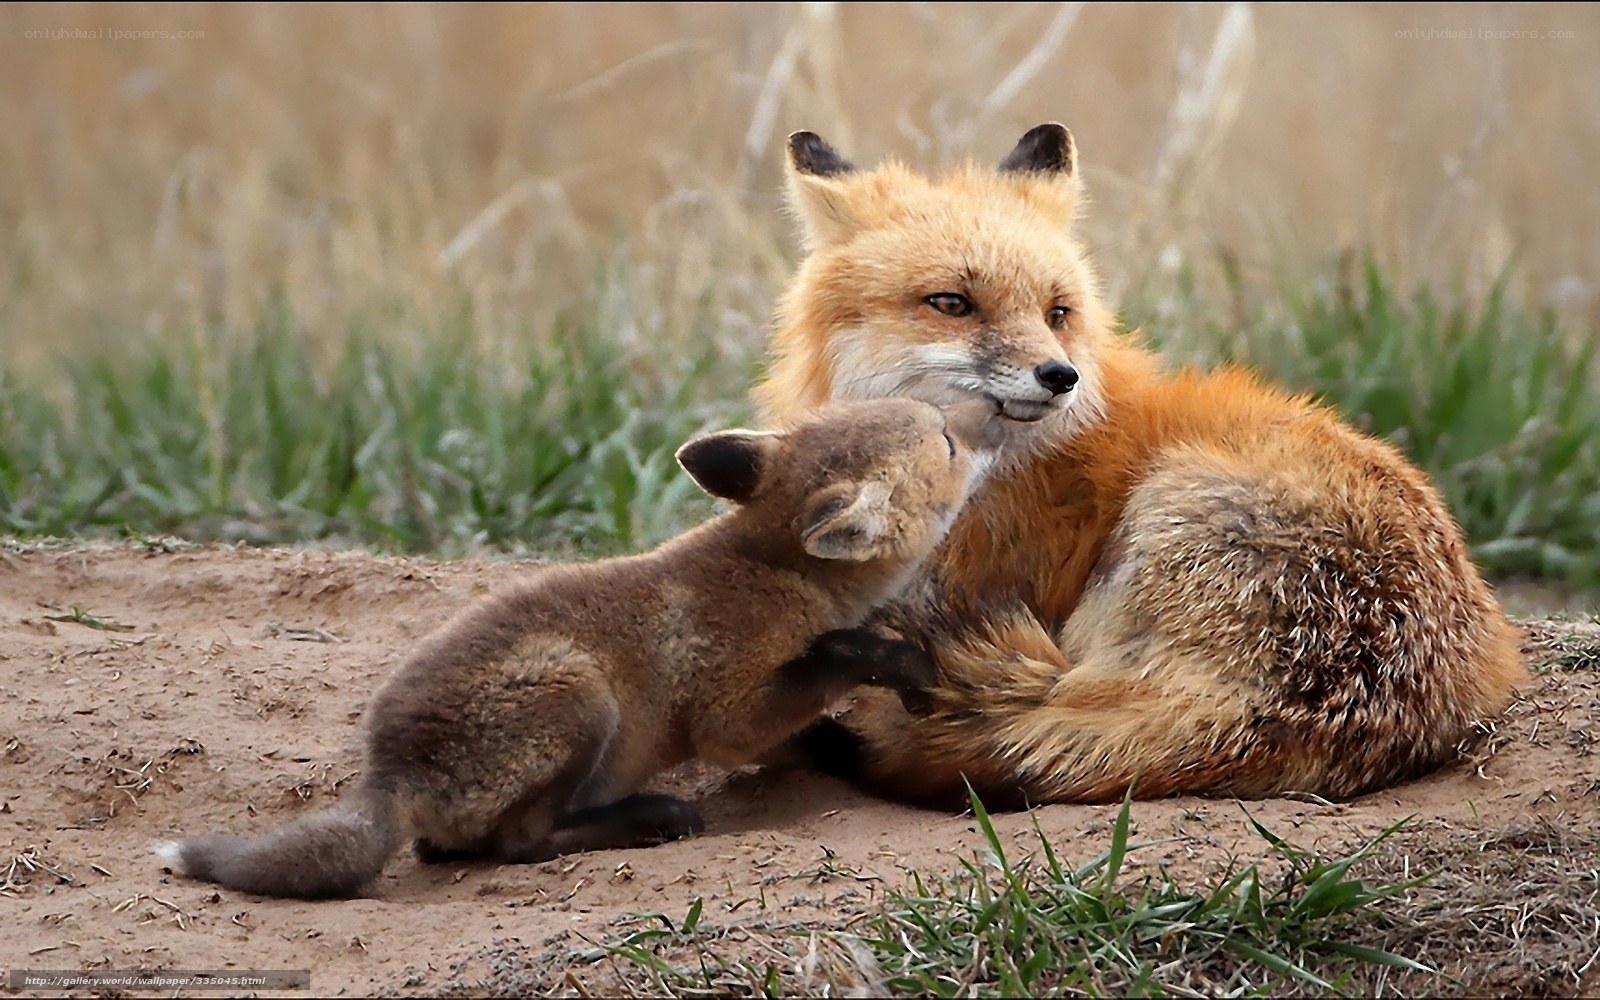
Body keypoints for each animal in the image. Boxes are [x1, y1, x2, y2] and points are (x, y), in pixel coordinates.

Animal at [156, 397, 1001, 899]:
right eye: (948, 441)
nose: (999, 402)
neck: (777, 570)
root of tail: (387, 775)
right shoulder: (728, 712)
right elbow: (834, 658)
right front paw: (901, 669)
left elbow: (819, 731)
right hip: (578, 694)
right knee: (521, 843)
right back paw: (650, 817)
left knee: (444, 851)